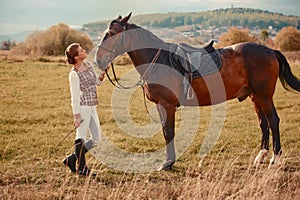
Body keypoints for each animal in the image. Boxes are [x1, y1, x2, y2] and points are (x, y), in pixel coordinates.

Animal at [94, 13, 300, 170]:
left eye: (113, 33)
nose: (98, 60)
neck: (160, 60)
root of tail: (270, 51)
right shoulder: (161, 106)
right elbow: (166, 132)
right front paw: (168, 161)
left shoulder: (166, 104)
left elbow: (168, 132)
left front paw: (168, 163)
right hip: (254, 96)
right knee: (263, 124)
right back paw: (261, 157)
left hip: (264, 96)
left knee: (273, 122)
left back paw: (275, 159)